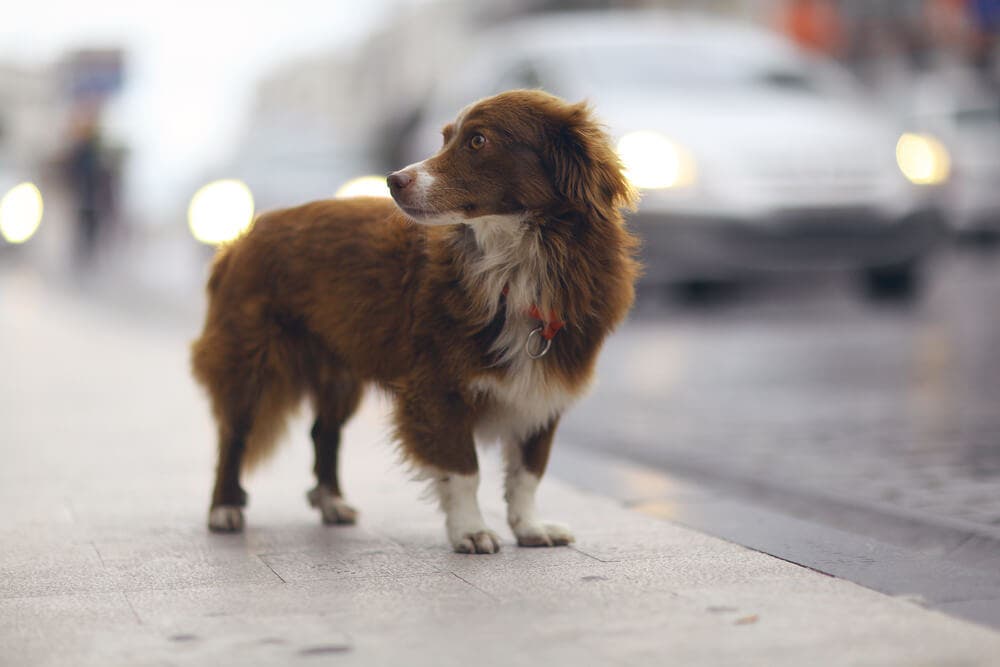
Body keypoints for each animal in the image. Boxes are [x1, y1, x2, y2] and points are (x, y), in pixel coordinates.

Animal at [191, 91, 636, 556]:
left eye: (478, 140)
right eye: (444, 138)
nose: (392, 180)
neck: (516, 263)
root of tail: (242, 236)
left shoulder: (545, 386)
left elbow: (529, 472)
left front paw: (530, 527)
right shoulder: (438, 386)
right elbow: (463, 469)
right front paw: (470, 531)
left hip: (338, 371)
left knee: (323, 433)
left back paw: (332, 502)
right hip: (250, 357)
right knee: (234, 433)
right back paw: (224, 509)